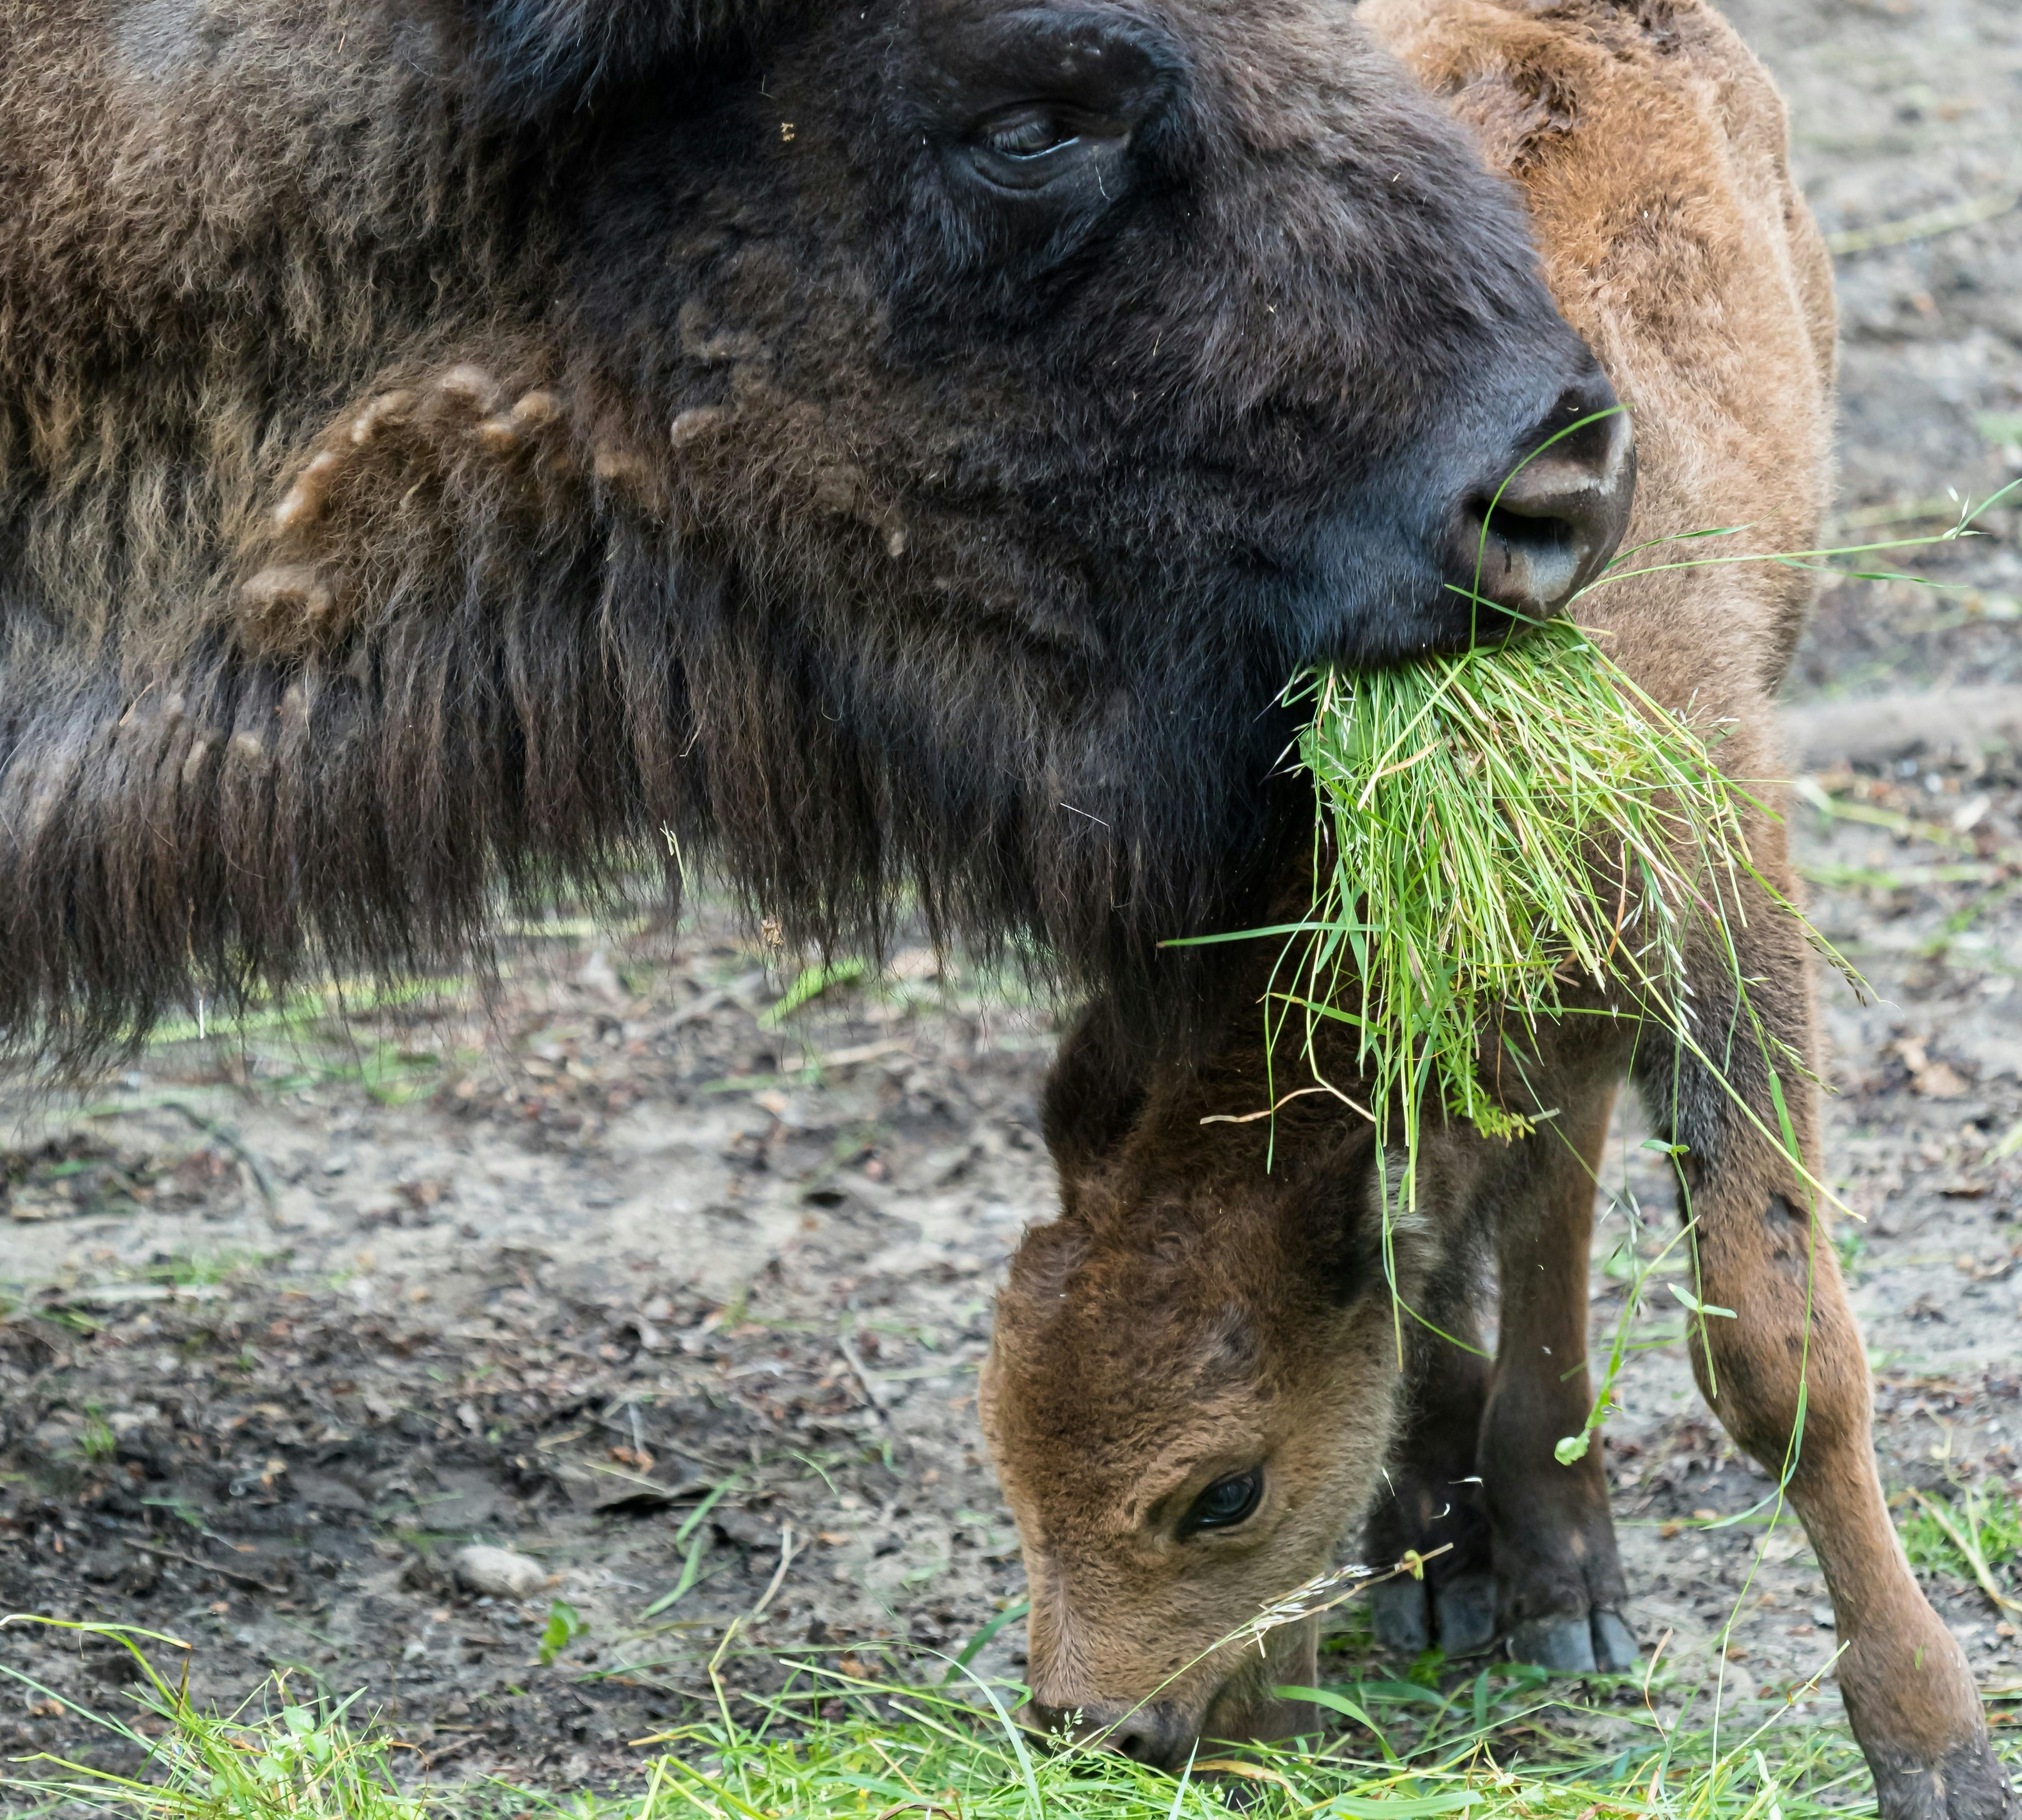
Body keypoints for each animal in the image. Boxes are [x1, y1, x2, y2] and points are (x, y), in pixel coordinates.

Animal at [979, 3, 2006, 1820]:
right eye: (1006, 1450)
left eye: (1222, 1491)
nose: (1096, 1727)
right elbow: (1438, 1261)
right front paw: (1446, 1541)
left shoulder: (1723, 928)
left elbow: (1776, 1348)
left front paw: (1930, 1740)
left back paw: (1561, 1570)